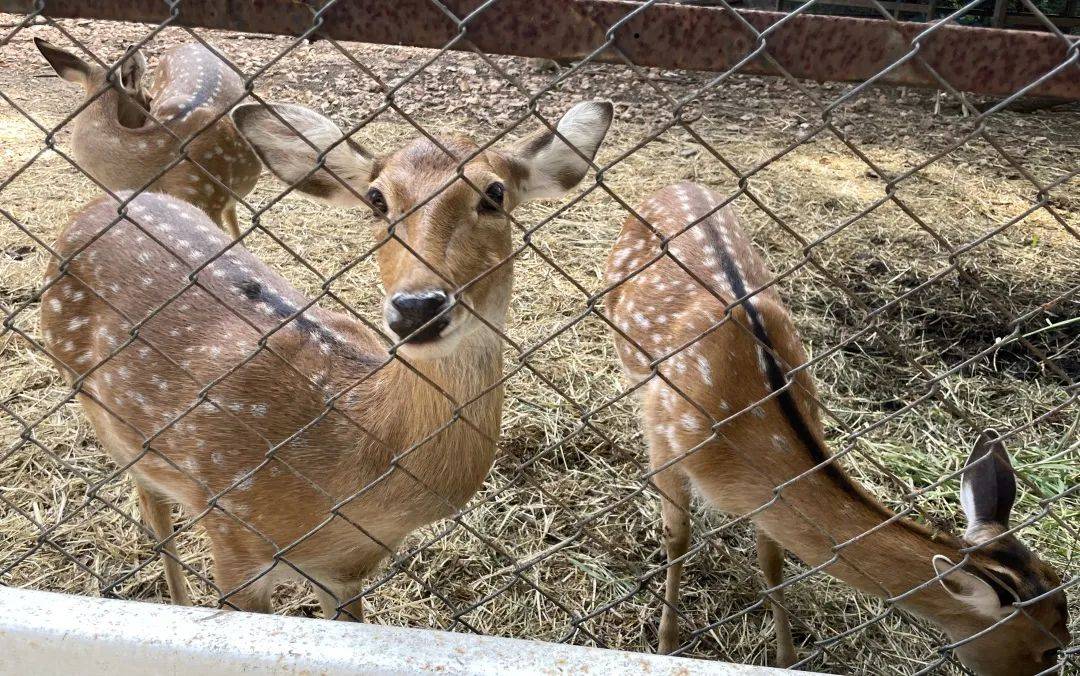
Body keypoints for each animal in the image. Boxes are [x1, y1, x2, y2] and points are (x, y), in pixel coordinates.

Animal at [39, 98, 617, 617]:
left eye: (494, 193)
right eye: (377, 199)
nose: (417, 307)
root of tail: (96, 206)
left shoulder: (345, 570)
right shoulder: (232, 537)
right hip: (102, 412)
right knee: (150, 505)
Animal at [609, 179, 1071, 673]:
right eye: (1049, 646)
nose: (1052, 663)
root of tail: (680, 183)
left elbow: (772, 559)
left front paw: (786, 657)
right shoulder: (666, 438)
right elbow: (678, 537)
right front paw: (665, 644)